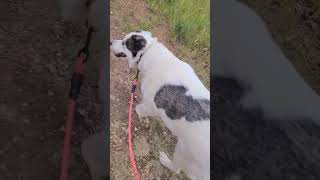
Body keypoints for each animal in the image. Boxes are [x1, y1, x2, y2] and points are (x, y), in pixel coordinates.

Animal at [111, 31, 211, 180]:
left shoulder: (150, 105)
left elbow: (139, 109)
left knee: (177, 168)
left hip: (183, 150)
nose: (110, 42)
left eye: (124, 43)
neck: (148, 51)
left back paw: (164, 160)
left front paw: (140, 116)